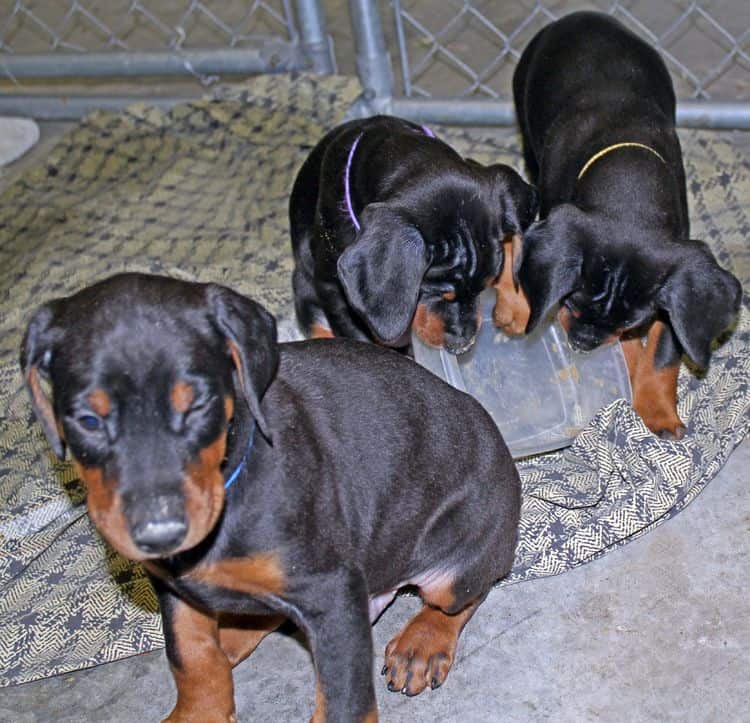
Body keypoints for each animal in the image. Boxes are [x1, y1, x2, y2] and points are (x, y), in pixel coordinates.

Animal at [20, 272, 520, 723]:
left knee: (464, 593)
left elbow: (344, 702)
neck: (231, 476)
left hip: (460, 557)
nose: (160, 534)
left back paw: (422, 643)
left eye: (197, 403)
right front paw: (199, 712)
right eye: (87, 419)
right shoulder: (172, 585)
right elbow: (190, 656)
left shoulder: (331, 592)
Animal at [500, 11, 748, 438]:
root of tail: (581, 15)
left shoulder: (677, 281)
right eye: (572, 300)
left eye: (633, 320)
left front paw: (659, 411)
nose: (582, 344)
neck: (630, 190)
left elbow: (664, 349)